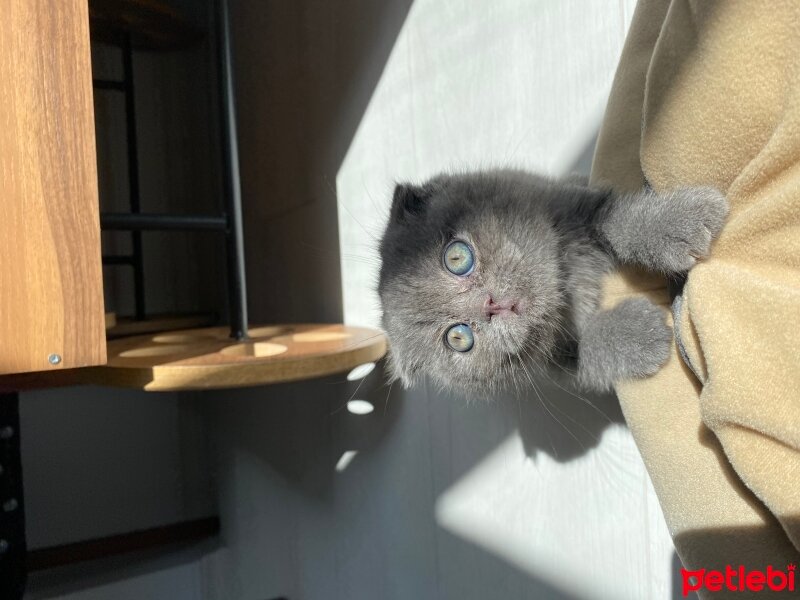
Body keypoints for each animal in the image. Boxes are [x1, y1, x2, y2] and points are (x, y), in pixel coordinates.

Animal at [378, 169, 728, 394]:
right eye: (459, 338)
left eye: (456, 258)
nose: (492, 305)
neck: (565, 286)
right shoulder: (554, 364)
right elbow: (587, 352)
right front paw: (638, 334)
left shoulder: (571, 205)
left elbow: (617, 219)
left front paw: (679, 224)